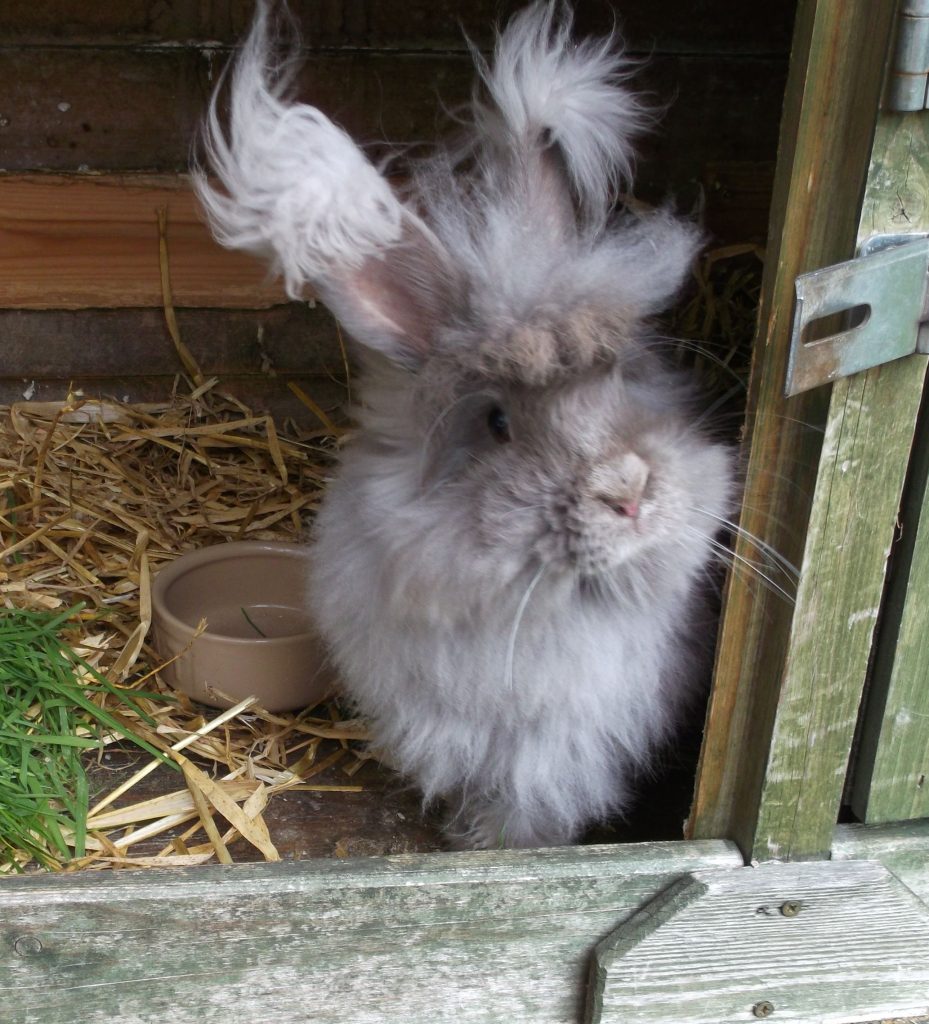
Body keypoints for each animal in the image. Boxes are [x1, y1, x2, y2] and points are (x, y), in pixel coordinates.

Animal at [194, 0, 733, 847]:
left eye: (620, 378)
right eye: (497, 422)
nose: (628, 491)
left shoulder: (557, 756)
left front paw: (508, 849)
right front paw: (473, 841)